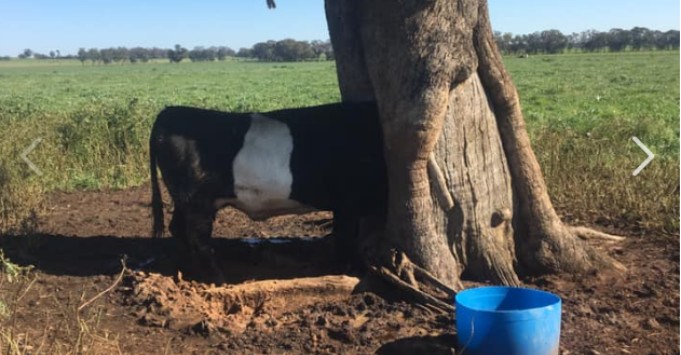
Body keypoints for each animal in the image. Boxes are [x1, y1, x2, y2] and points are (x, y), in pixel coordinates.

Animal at [149, 101, 386, 274]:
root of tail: (170, 111)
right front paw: (350, 268)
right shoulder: (349, 199)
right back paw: (217, 275)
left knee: (178, 228)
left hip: (186, 200)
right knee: (197, 236)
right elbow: (346, 235)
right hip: (196, 200)